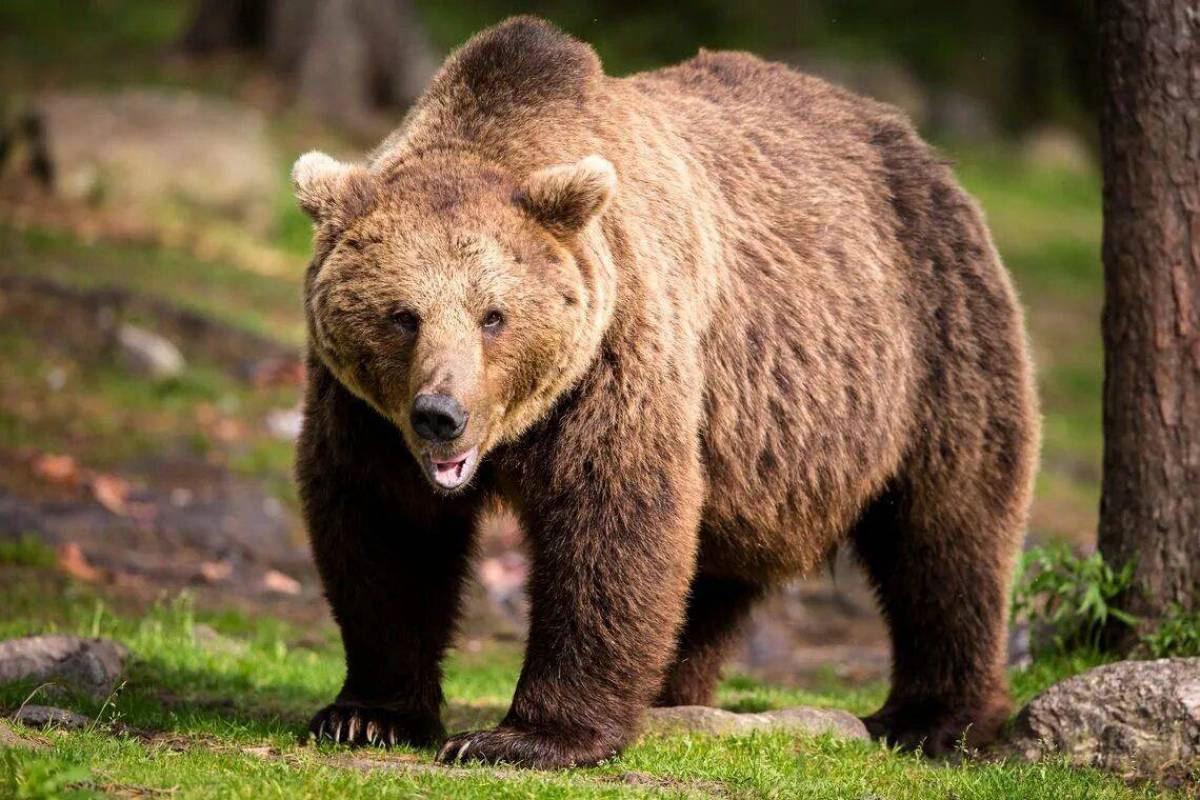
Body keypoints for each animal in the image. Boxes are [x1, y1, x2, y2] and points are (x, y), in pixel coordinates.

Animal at [292, 15, 1041, 767]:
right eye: (402, 315)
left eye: (493, 316)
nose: (441, 416)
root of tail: (920, 148)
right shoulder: (364, 414)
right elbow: (386, 529)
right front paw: (367, 714)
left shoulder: (615, 356)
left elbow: (611, 519)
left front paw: (526, 736)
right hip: (756, 451)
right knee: (714, 575)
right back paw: (671, 693)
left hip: (932, 343)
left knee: (947, 533)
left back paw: (934, 718)